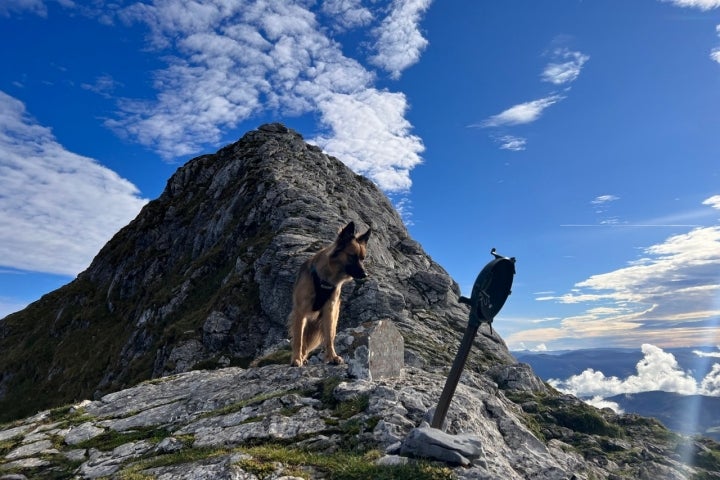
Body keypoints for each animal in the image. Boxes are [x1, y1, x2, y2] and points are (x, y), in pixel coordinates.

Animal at [290, 222, 372, 368]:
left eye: (362, 258)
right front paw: (296, 359)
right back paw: (301, 357)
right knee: (302, 338)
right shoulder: (300, 311)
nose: (365, 275)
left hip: (331, 318)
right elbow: (298, 339)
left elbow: (329, 337)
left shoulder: (329, 309)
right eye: (352, 256)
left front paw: (332, 357)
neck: (326, 278)